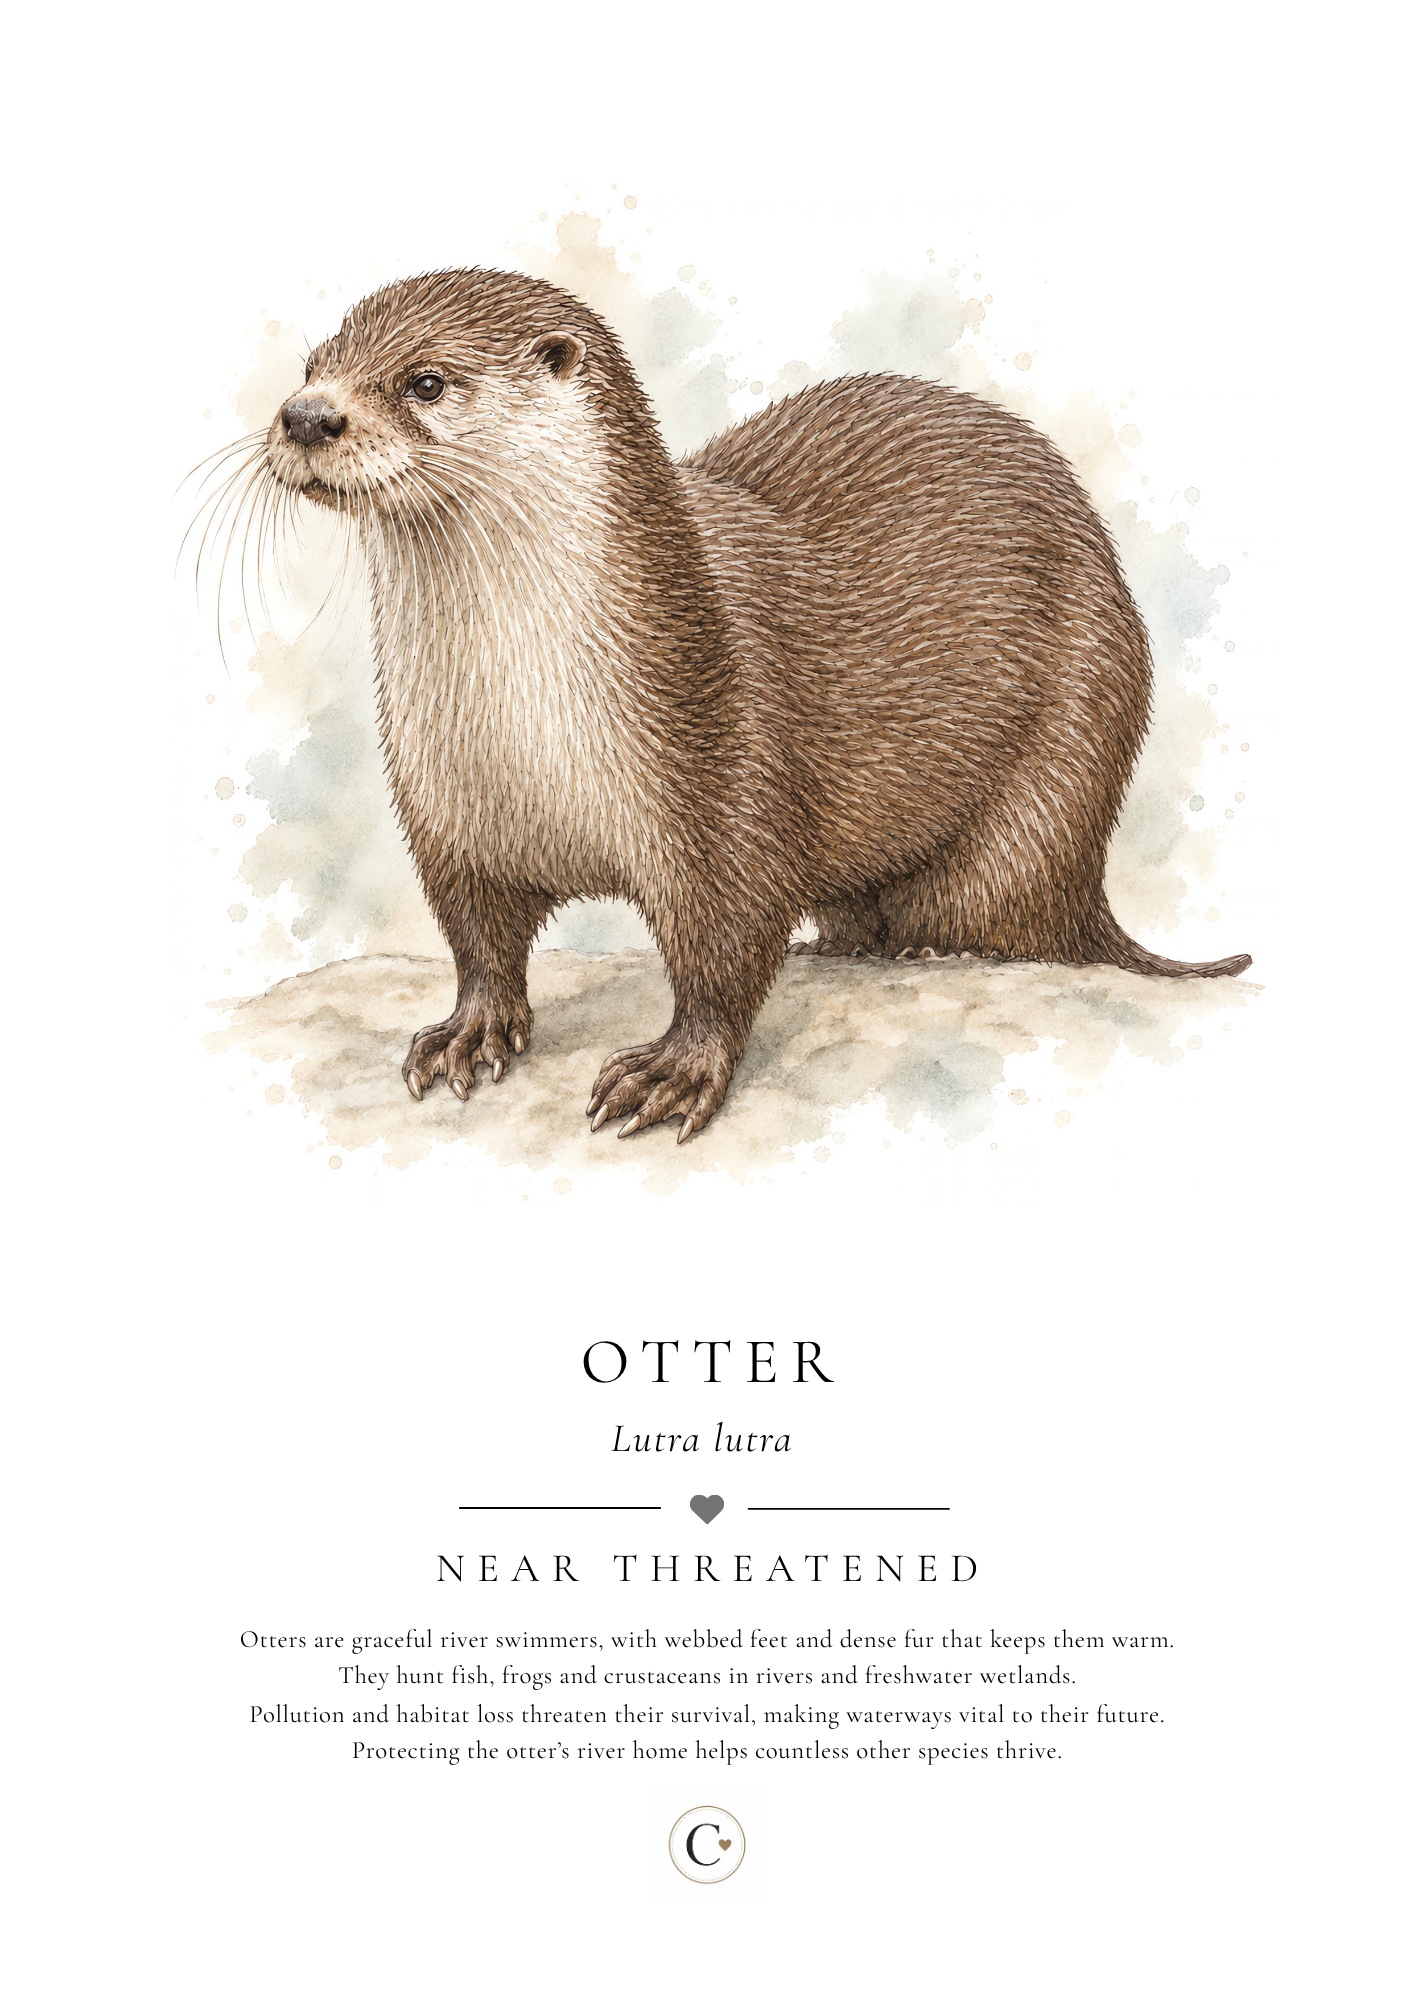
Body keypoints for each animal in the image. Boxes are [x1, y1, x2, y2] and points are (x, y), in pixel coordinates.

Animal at [257, 267, 1249, 1140]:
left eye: (425, 381)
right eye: (312, 364)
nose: (305, 416)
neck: (523, 729)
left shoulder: (725, 760)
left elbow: (727, 946)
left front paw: (674, 1069)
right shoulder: (449, 812)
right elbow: (478, 939)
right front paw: (471, 1029)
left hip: (1055, 774)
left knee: (1001, 913)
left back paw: (923, 948)